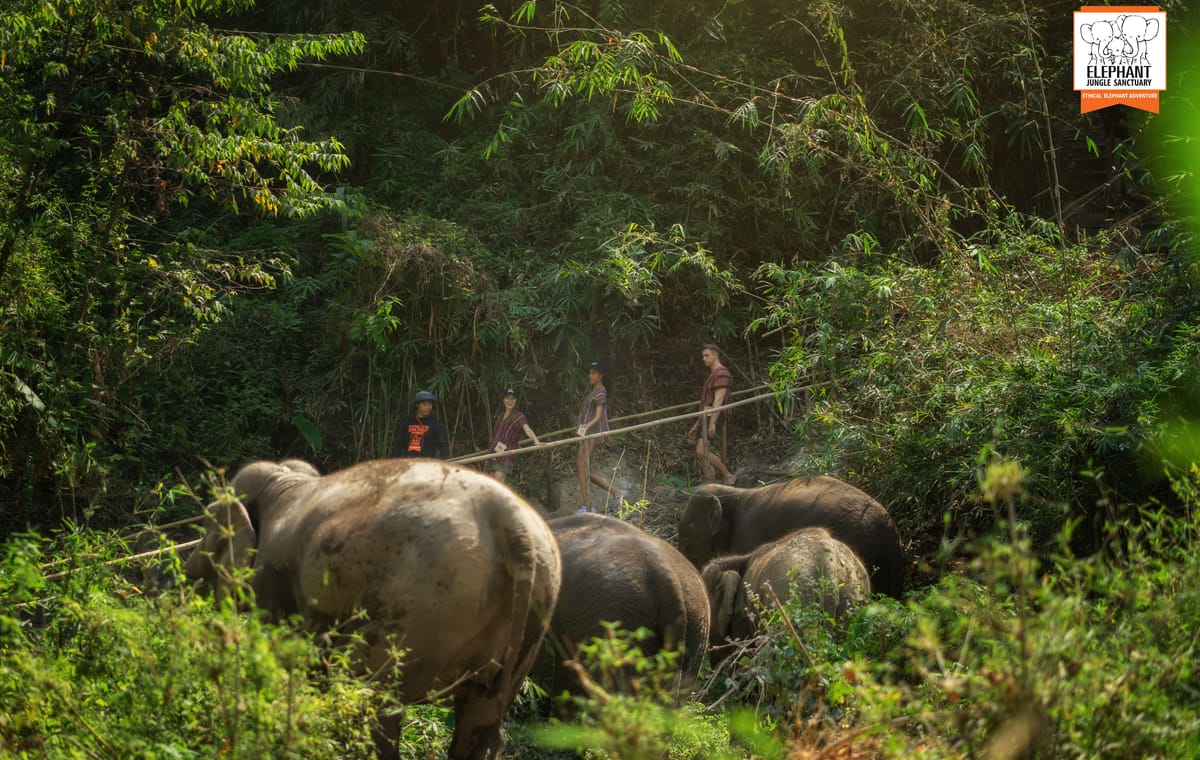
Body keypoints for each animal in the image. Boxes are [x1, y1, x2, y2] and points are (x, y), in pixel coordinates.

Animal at [184, 458, 562, 760]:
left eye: (207, 525)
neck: (284, 480)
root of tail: (512, 523)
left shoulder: (273, 577)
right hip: (528, 621)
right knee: (480, 721)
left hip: (419, 606)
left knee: (369, 703)